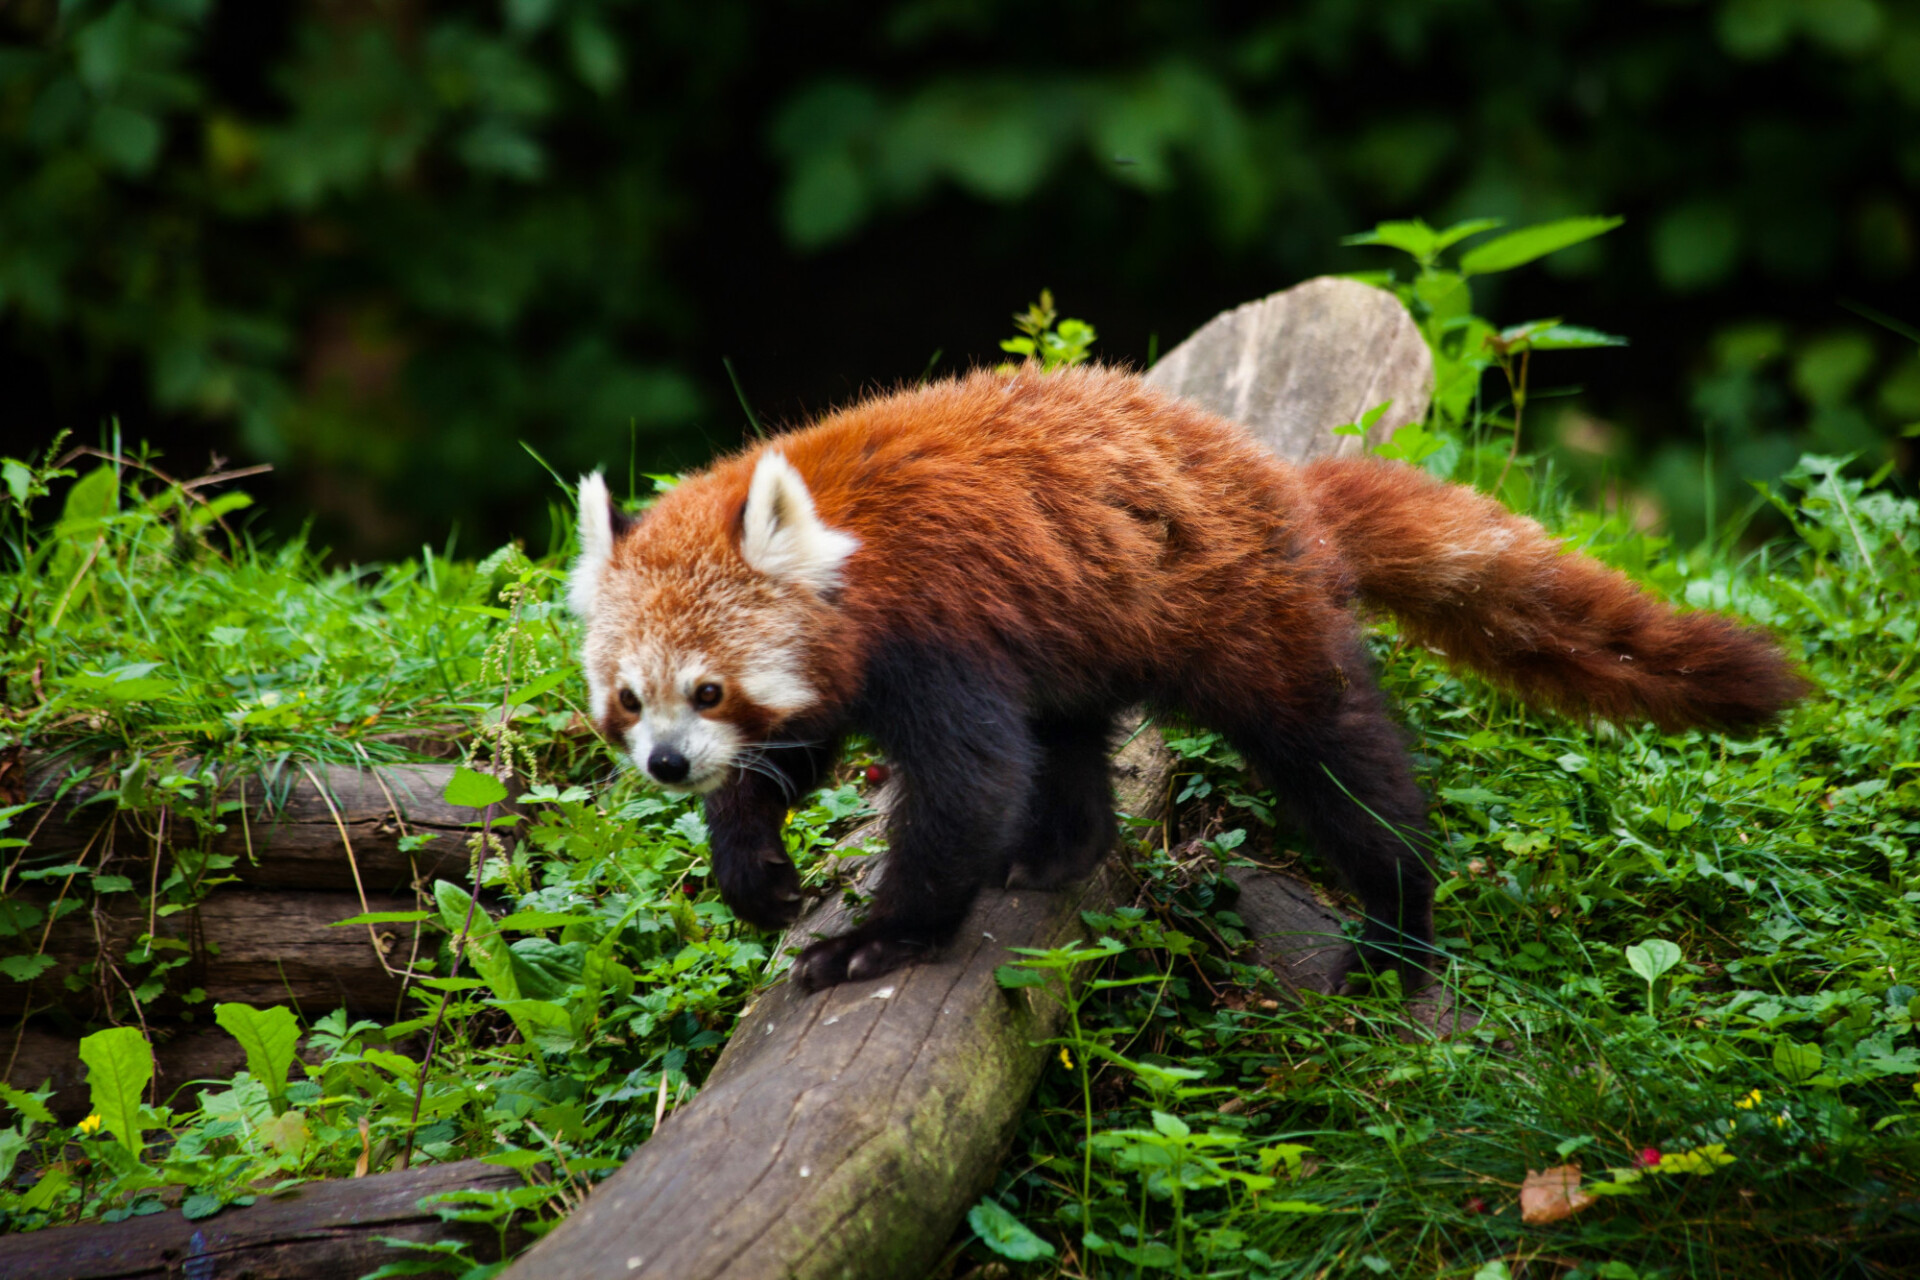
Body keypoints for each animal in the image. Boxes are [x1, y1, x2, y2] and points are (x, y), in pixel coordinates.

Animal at [560, 364, 1804, 997]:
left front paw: (879, 938)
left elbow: (964, 785)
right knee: (1067, 741)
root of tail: (1286, 484)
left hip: (1251, 616)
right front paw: (751, 861)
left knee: (1337, 761)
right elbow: (798, 756)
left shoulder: (936, 630)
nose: (665, 762)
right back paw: (1057, 848)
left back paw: (1398, 920)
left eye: (707, 689)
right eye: (631, 696)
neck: (846, 550)